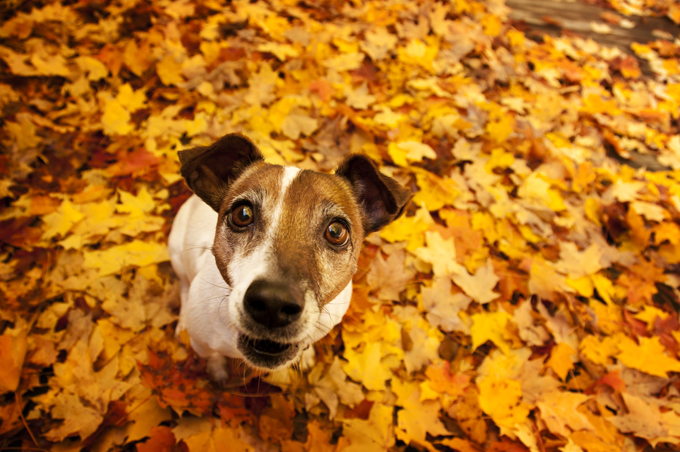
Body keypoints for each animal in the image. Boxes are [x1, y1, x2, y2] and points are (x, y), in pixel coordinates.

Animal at [167, 132, 412, 380]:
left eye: (336, 231)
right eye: (242, 214)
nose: (272, 303)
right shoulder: (201, 344)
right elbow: (212, 355)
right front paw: (216, 369)